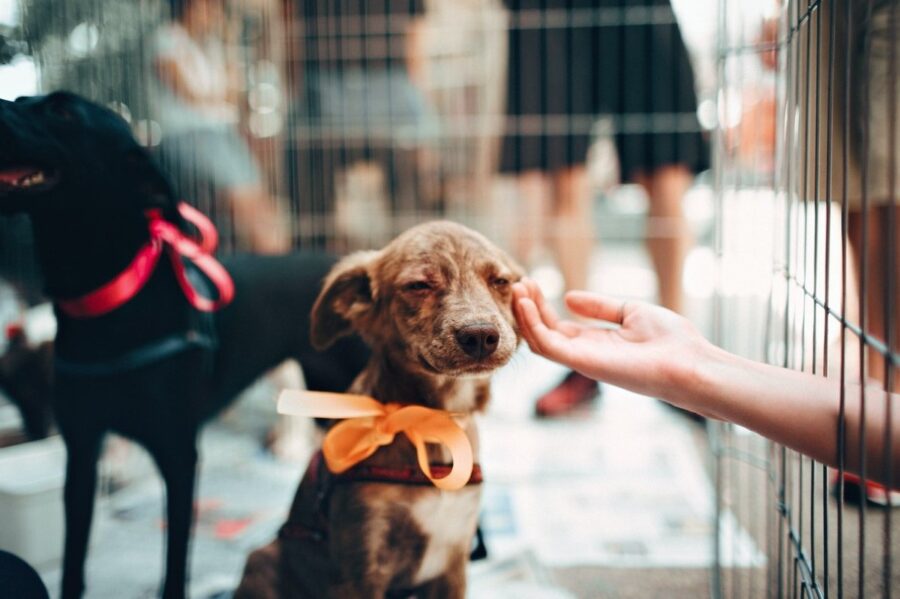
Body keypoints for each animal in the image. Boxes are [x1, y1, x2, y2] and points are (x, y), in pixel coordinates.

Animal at [0, 94, 370, 599]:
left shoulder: (178, 456)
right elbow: (75, 560)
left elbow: (175, 563)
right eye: (23, 100)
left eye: (61, 110)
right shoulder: (82, 451)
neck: (110, 303)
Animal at [236, 221, 524, 599]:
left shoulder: (453, 562)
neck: (431, 423)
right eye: (418, 286)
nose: (480, 336)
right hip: (263, 559)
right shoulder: (362, 564)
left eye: (500, 281)